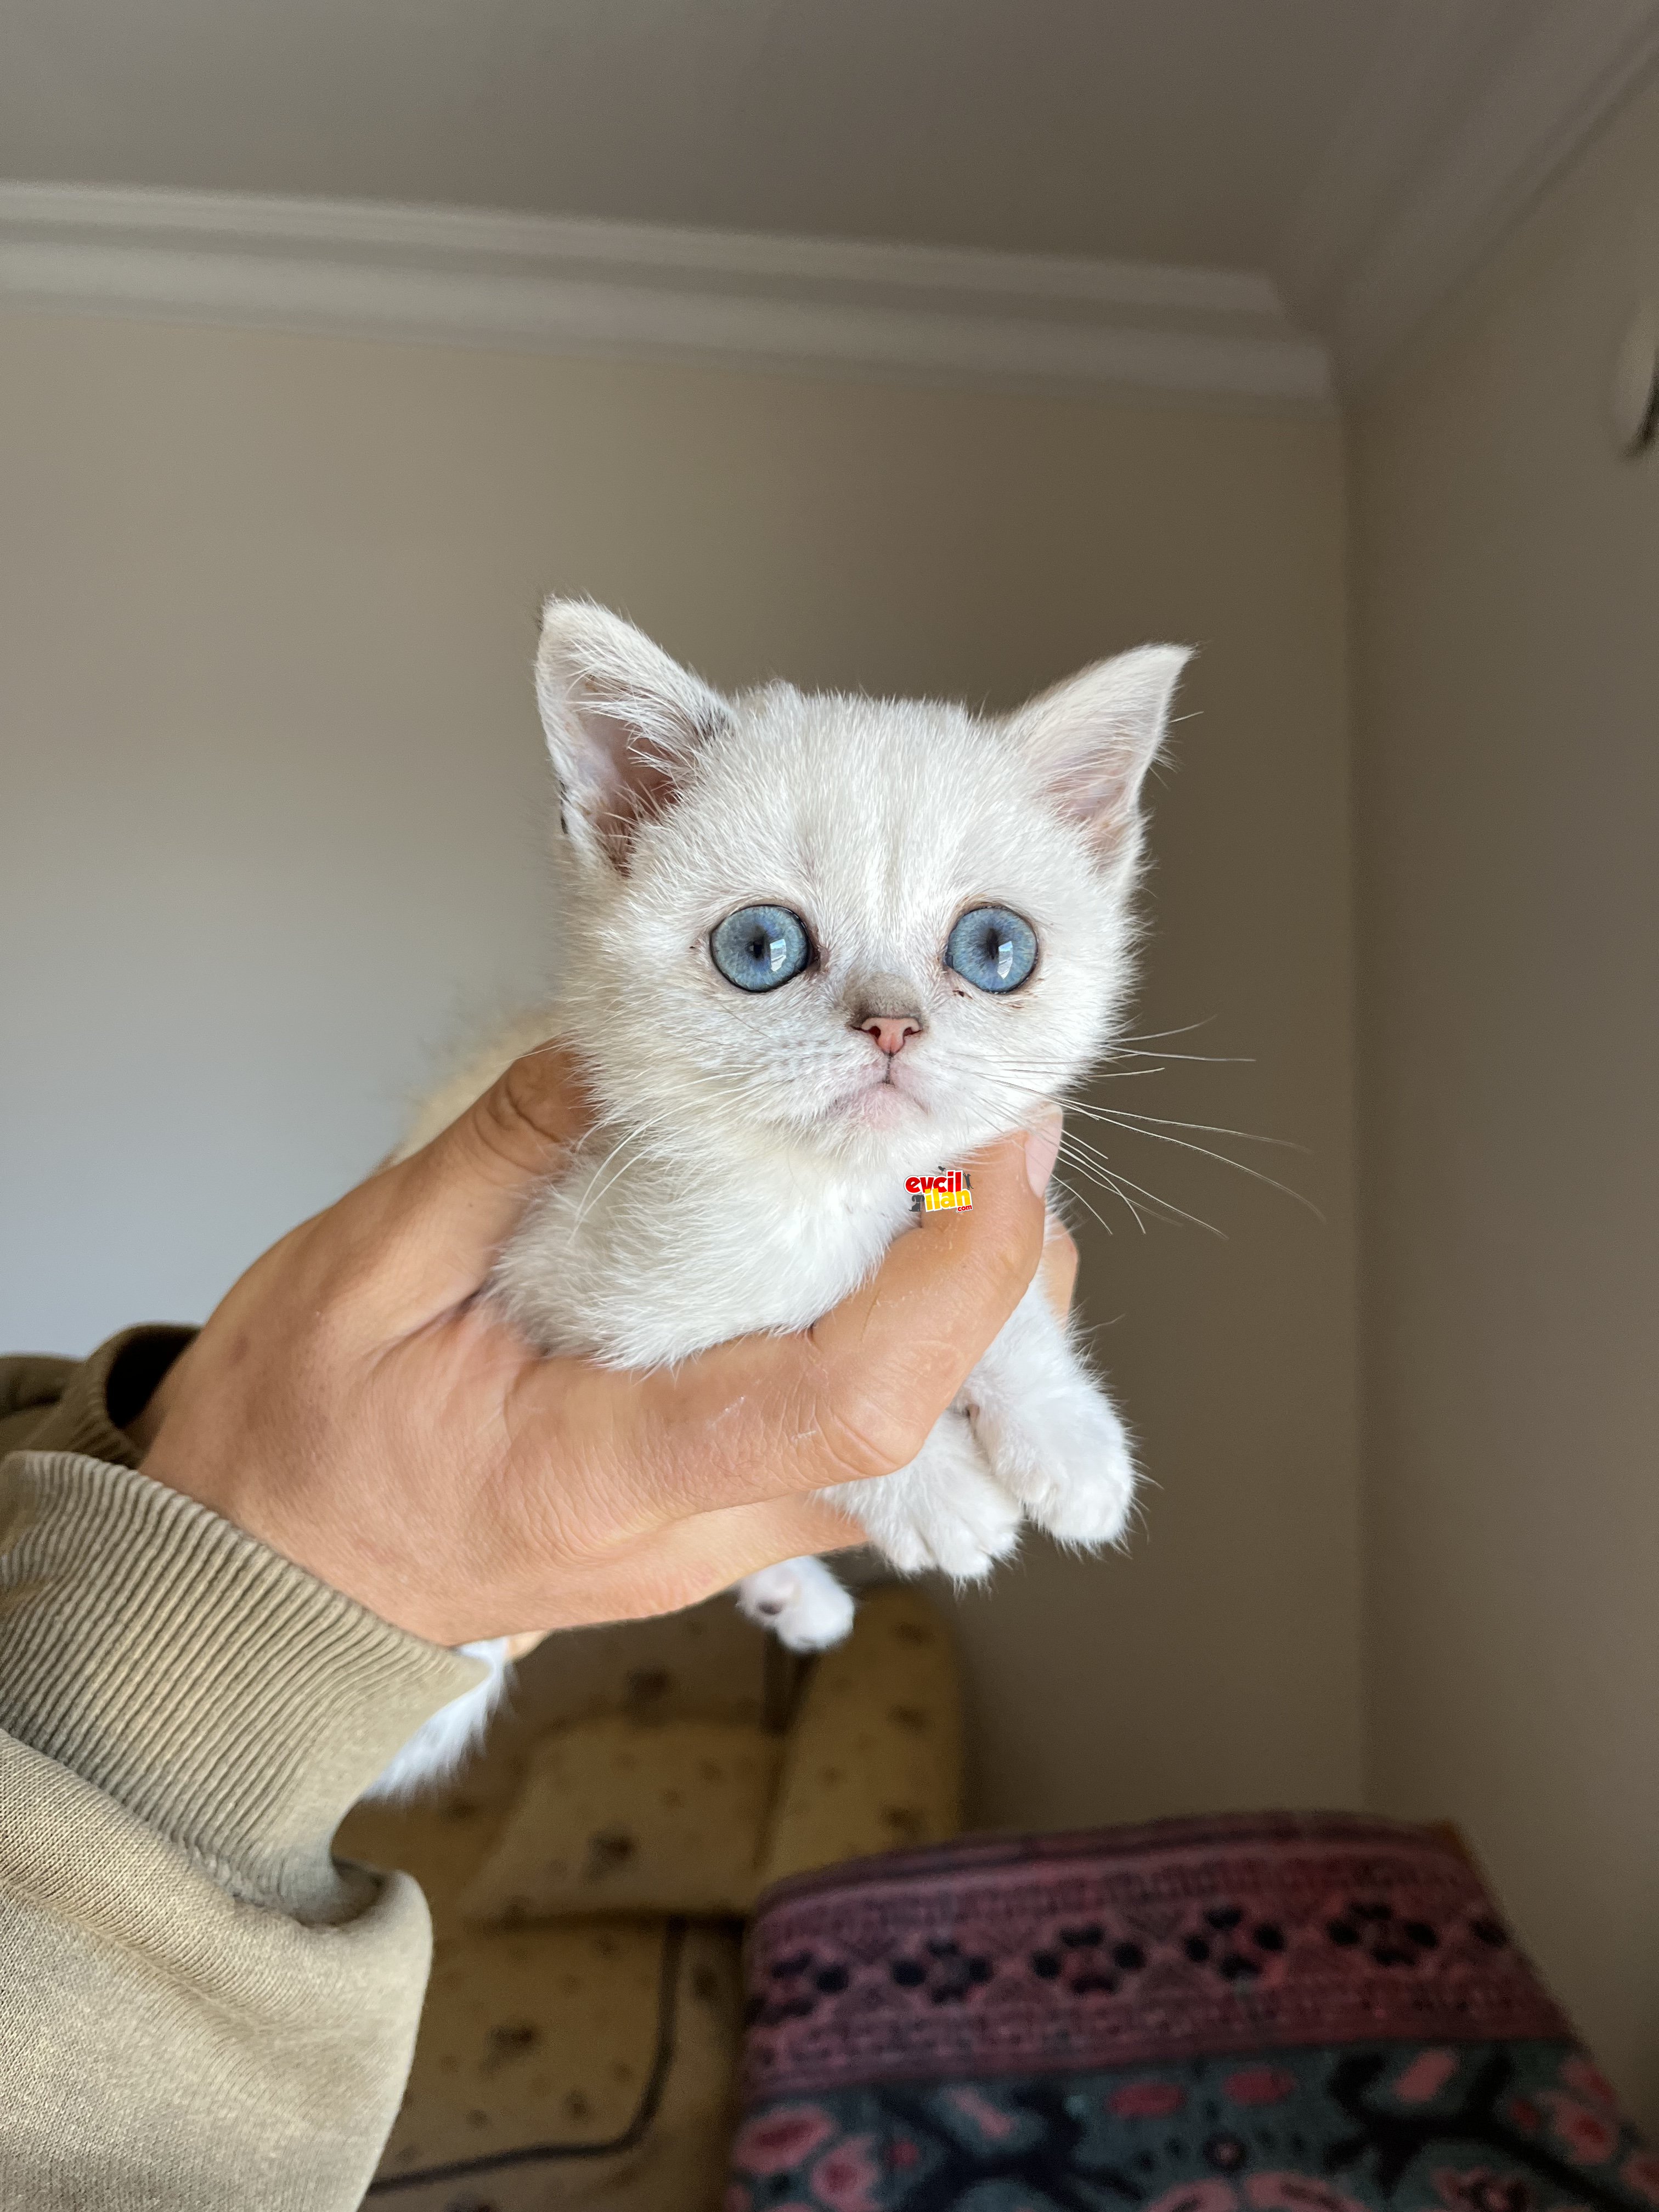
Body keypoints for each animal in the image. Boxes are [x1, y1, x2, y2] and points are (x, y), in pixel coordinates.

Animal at [369, 601, 1186, 1796]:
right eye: (761, 947)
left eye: (996, 948)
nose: (893, 1024)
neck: (827, 1196)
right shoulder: (561, 1275)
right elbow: (767, 1357)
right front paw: (934, 1493)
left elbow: (1004, 1292)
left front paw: (1066, 1435)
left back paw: (791, 1593)